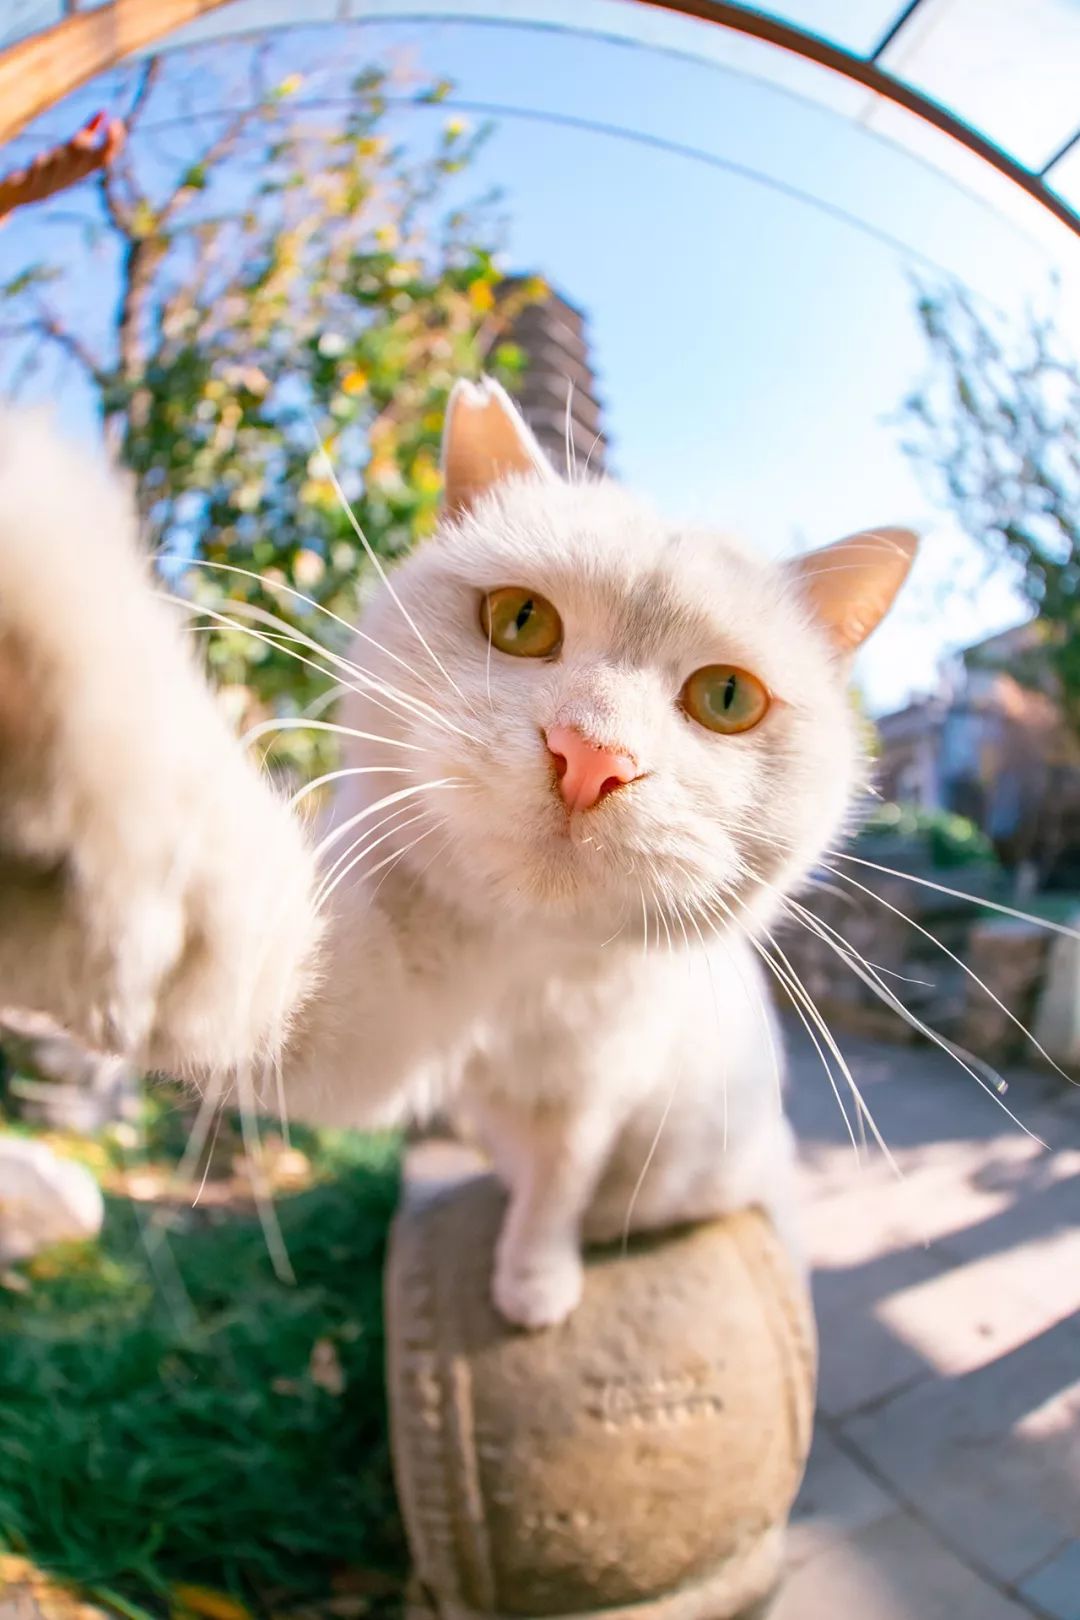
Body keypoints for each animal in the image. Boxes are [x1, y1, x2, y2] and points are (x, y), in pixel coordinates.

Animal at [0, 388, 919, 1328]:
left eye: (727, 698)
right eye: (521, 620)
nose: (591, 755)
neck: (517, 973)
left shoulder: (592, 1092)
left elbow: (559, 1183)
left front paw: (535, 1282)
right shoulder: (362, 1027)